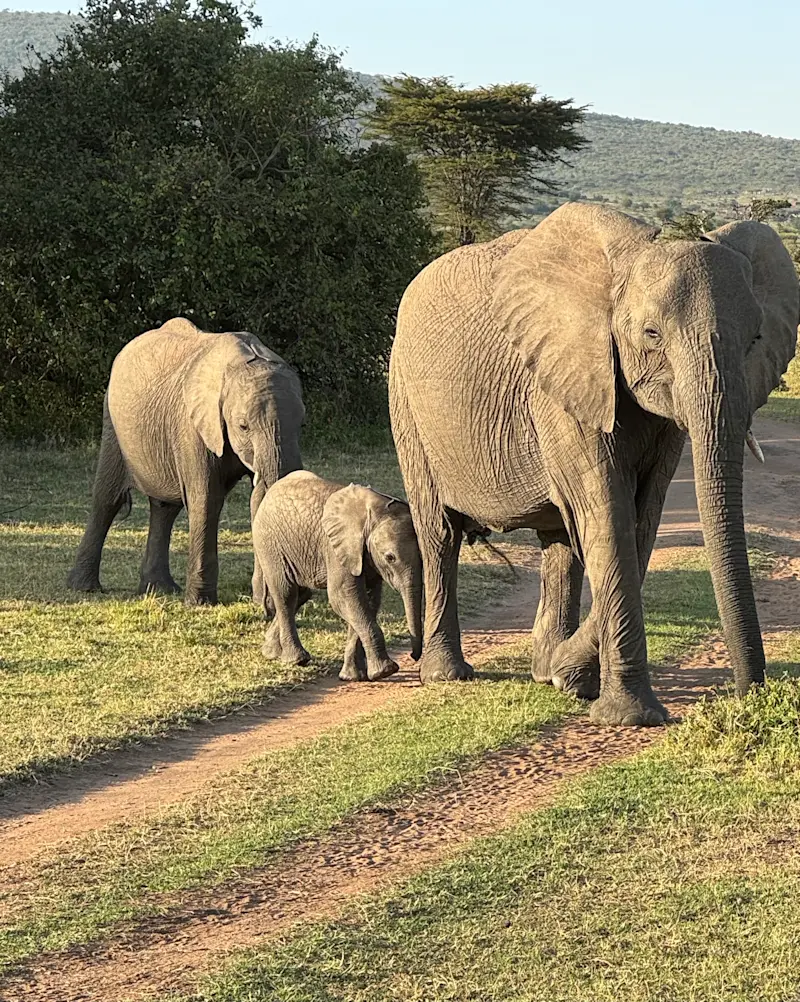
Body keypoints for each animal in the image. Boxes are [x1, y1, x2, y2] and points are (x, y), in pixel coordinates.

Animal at [67, 317, 304, 605]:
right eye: (243, 426)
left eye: (301, 424)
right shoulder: (192, 427)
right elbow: (206, 498)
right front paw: (200, 603)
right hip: (112, 422)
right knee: (107, 499)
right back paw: (84, 588)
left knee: (165, 507)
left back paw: (158, 589)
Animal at [252, 471, 423, 680]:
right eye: (390, 558)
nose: (414, 656)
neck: (375, 511)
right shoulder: (336, 548)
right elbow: (344, 598)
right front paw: (385, 671)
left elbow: (368, 601)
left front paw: (352, 677)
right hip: (269, 544)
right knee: (286, 594)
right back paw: (297, 659)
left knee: (300, 594)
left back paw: (271, 652)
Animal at [389, 203, 799, 726]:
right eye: (651, 334)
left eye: (755, 338)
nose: (750, 695)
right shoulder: (564, 383)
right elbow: (609, 517)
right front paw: (627, 716)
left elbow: (642, 522)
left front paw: (569, 679)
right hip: (407, 404)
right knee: (439, 533)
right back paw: (449, 674)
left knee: (559, 543)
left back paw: (545, 669)